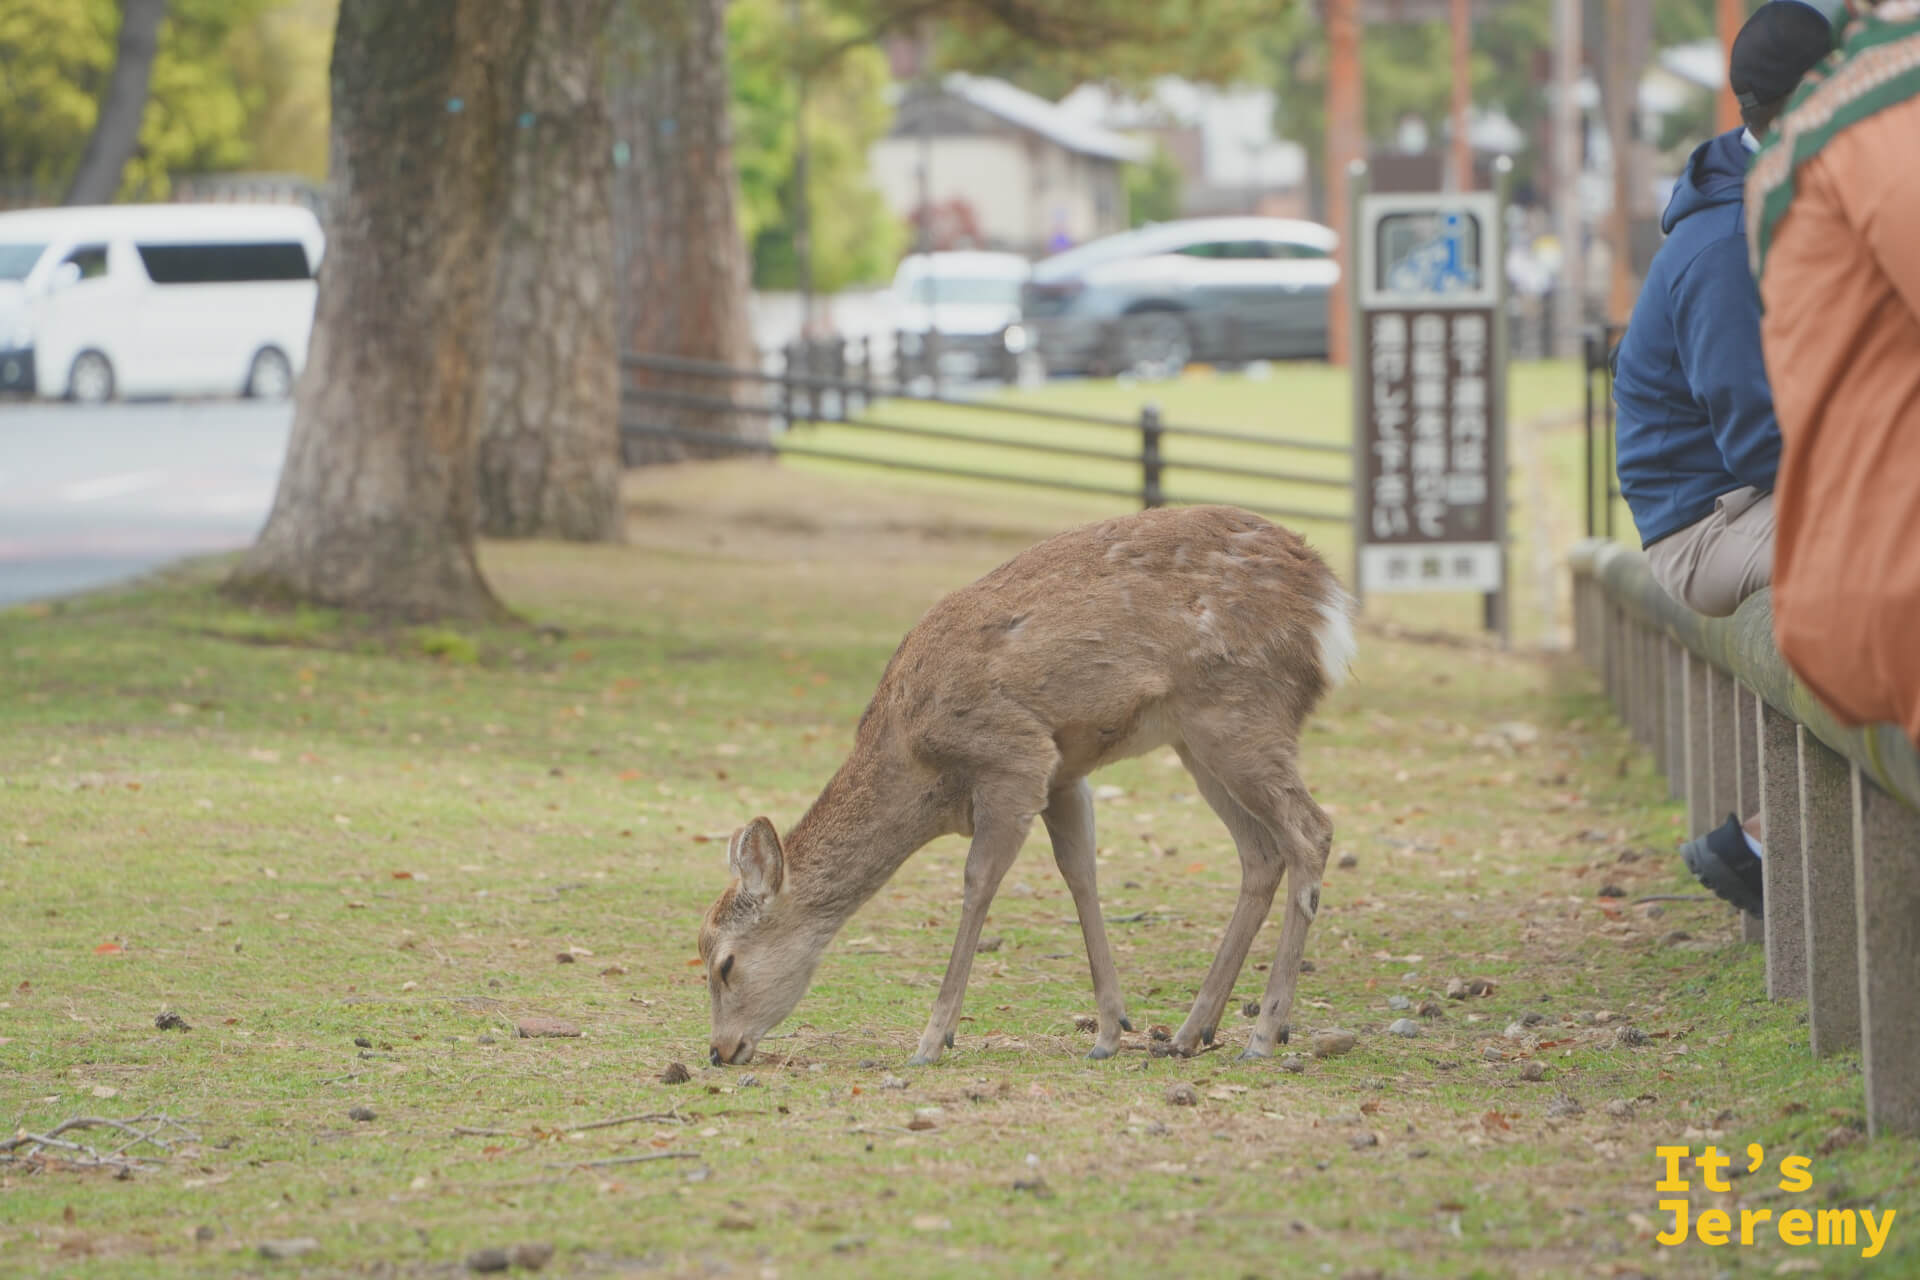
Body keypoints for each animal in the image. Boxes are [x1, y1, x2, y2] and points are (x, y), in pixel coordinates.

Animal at [697, 504, 1354, 1068]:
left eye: (724, 964)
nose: (720, 1050)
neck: (918, 766)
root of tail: (1330, 602)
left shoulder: (1015, 755)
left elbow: (978, 882)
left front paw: (933, 1039)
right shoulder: (1065, 772)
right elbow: (1080, 873)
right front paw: (1110, 1031)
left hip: (1242, 709)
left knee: (1312, 830)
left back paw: (1265, 1033)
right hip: (1195, 740)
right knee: (1260, 852)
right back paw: (1192, 1032)